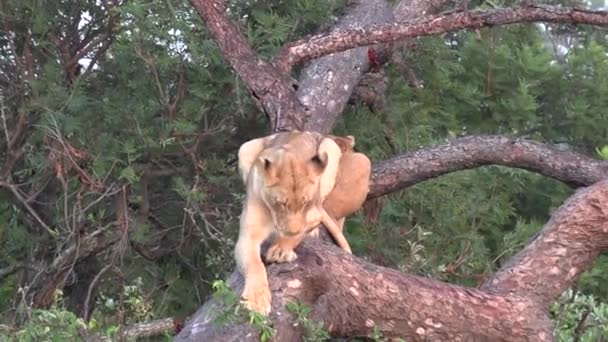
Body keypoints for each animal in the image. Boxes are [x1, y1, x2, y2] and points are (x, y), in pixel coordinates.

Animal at [236, 131, 370, 316]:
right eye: (281, 203)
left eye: (304, 203)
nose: (290, 231)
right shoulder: (249, 234)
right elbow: (254, 265)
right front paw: (257, 300)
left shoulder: (314, 213)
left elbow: (302, 230)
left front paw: (281, 250)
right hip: (246, 148)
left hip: (336, 150)